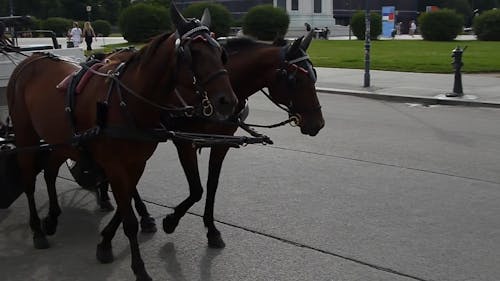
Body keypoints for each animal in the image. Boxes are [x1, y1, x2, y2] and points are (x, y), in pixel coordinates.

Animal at [5, 3, 236, 278]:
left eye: (221, 52)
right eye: (194, 53)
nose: (228, 101)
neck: (127, 100)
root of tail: (31, 58)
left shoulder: (136, 163)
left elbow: (125, 205)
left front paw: (106, 241)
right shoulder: (114, 164)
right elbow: (128, 218)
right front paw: (139, 268)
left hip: (62, 140)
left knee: (50, 171)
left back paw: (51, 218)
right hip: (25, 133)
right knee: (28, 179)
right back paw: (37, 229)